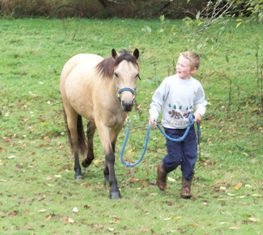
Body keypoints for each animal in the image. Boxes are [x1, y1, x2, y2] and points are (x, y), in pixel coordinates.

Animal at [60, 48, 140, 199]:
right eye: (116, 74)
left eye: (136, 74)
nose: (127, 104)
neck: (111, 95)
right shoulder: (103, 126)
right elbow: (109, 155)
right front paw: (114, 189)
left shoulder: (117, 126)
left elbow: (111, 151)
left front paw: (107, 177)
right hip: (70, 112)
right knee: (74, 139)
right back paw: (78, 171)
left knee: (89, 131)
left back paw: (87, 160)